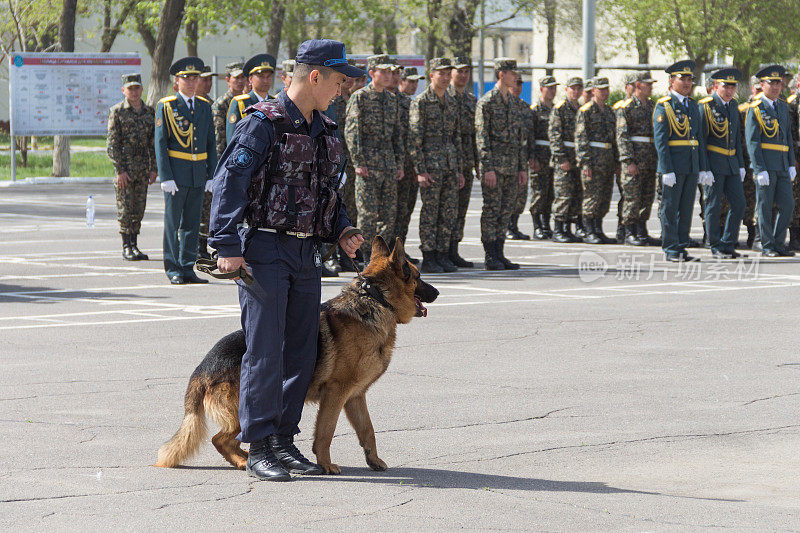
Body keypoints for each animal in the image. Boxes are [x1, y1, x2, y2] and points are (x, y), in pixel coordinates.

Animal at [155, 237, 438, 474]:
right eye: (418, 276)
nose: (436, 292)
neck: (377, 300)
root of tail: (202, 368)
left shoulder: (355, 396)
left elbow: (368, 431)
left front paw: (374, 460)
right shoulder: (336, 394)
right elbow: (326, 431)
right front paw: (325, 464)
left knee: (227, 440)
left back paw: (248, 459)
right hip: (241, 412)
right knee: (221, 439)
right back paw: (247, 461)